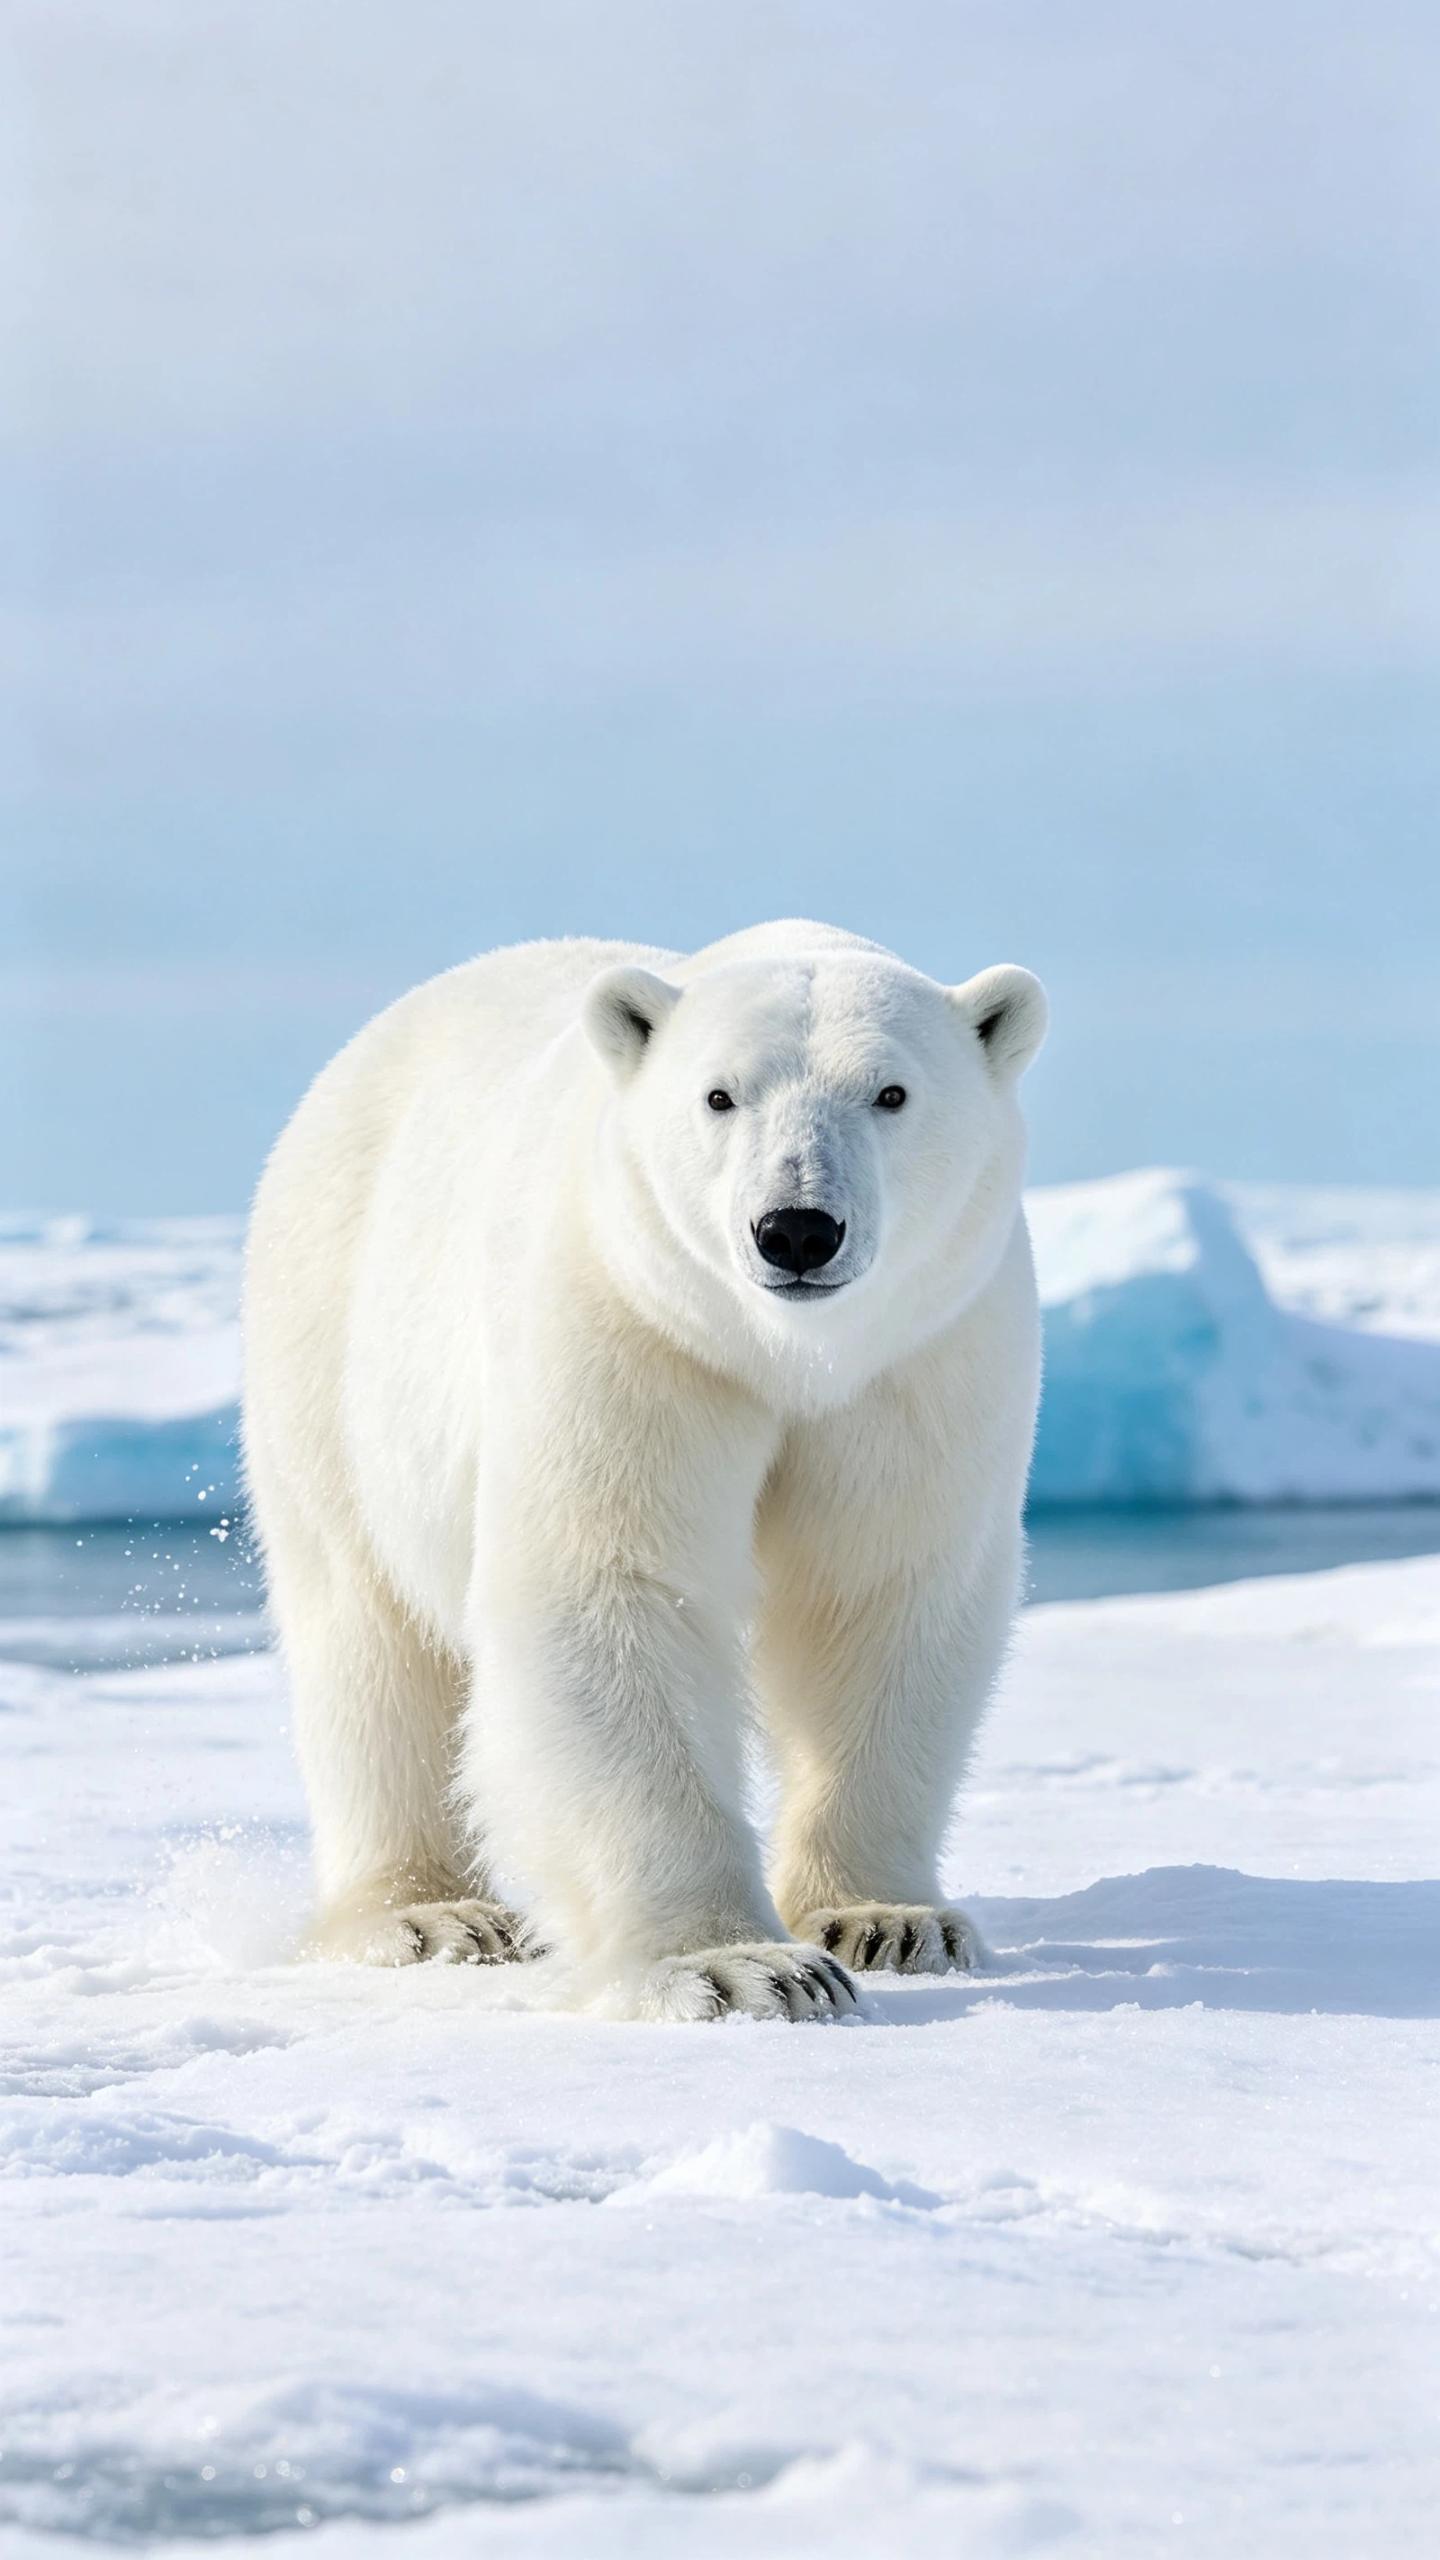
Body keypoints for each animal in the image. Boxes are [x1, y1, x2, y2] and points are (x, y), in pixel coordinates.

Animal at [242, 919, 1047, 2020]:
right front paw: (746, 1966)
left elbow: (879, 1593)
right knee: (367, 1632)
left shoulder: (921, 1362)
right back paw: (432, 1914)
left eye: (892, 1092)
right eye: (719, 1095)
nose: (797, 1228)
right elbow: (613, 1584)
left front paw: (884, 1919)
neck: (779, 1353)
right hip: (329, 1335)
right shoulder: (632, 1326)